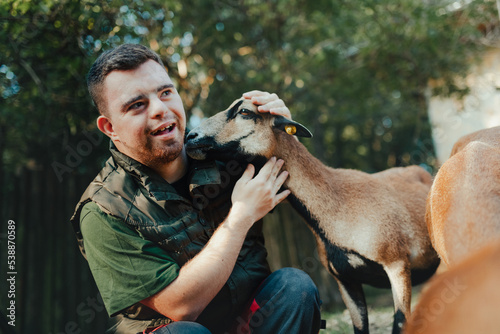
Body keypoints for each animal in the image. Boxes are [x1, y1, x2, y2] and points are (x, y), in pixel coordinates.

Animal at [186, 98, 440, 332]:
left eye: (245, 112)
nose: (190, 136)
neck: (338, 205)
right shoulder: (346, 279)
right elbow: (360, 327)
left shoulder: (397, 264)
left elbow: (400, 322)